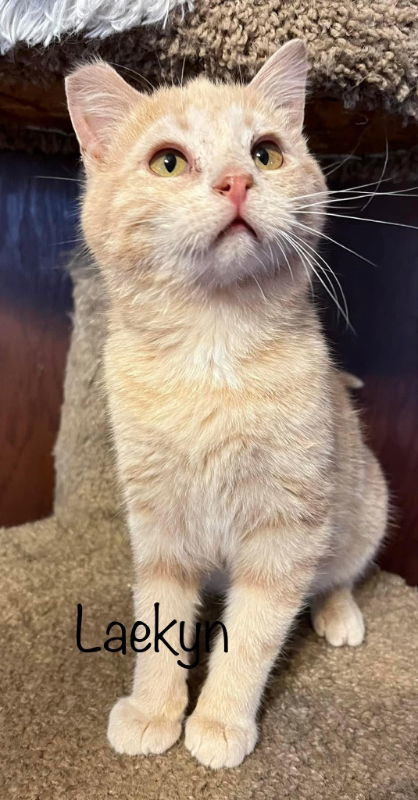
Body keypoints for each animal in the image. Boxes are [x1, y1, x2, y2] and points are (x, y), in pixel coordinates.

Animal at [65, 42, 388, 768]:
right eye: (169, 161)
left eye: (265, 153)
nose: (238, 182)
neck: (211, 359)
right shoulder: (158, 525)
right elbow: (159, 619)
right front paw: (154, 711)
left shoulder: (287, 529)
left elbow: (255, 632)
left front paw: (217, 721)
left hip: (362, 509)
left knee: (337, 576)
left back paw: (338, 614)